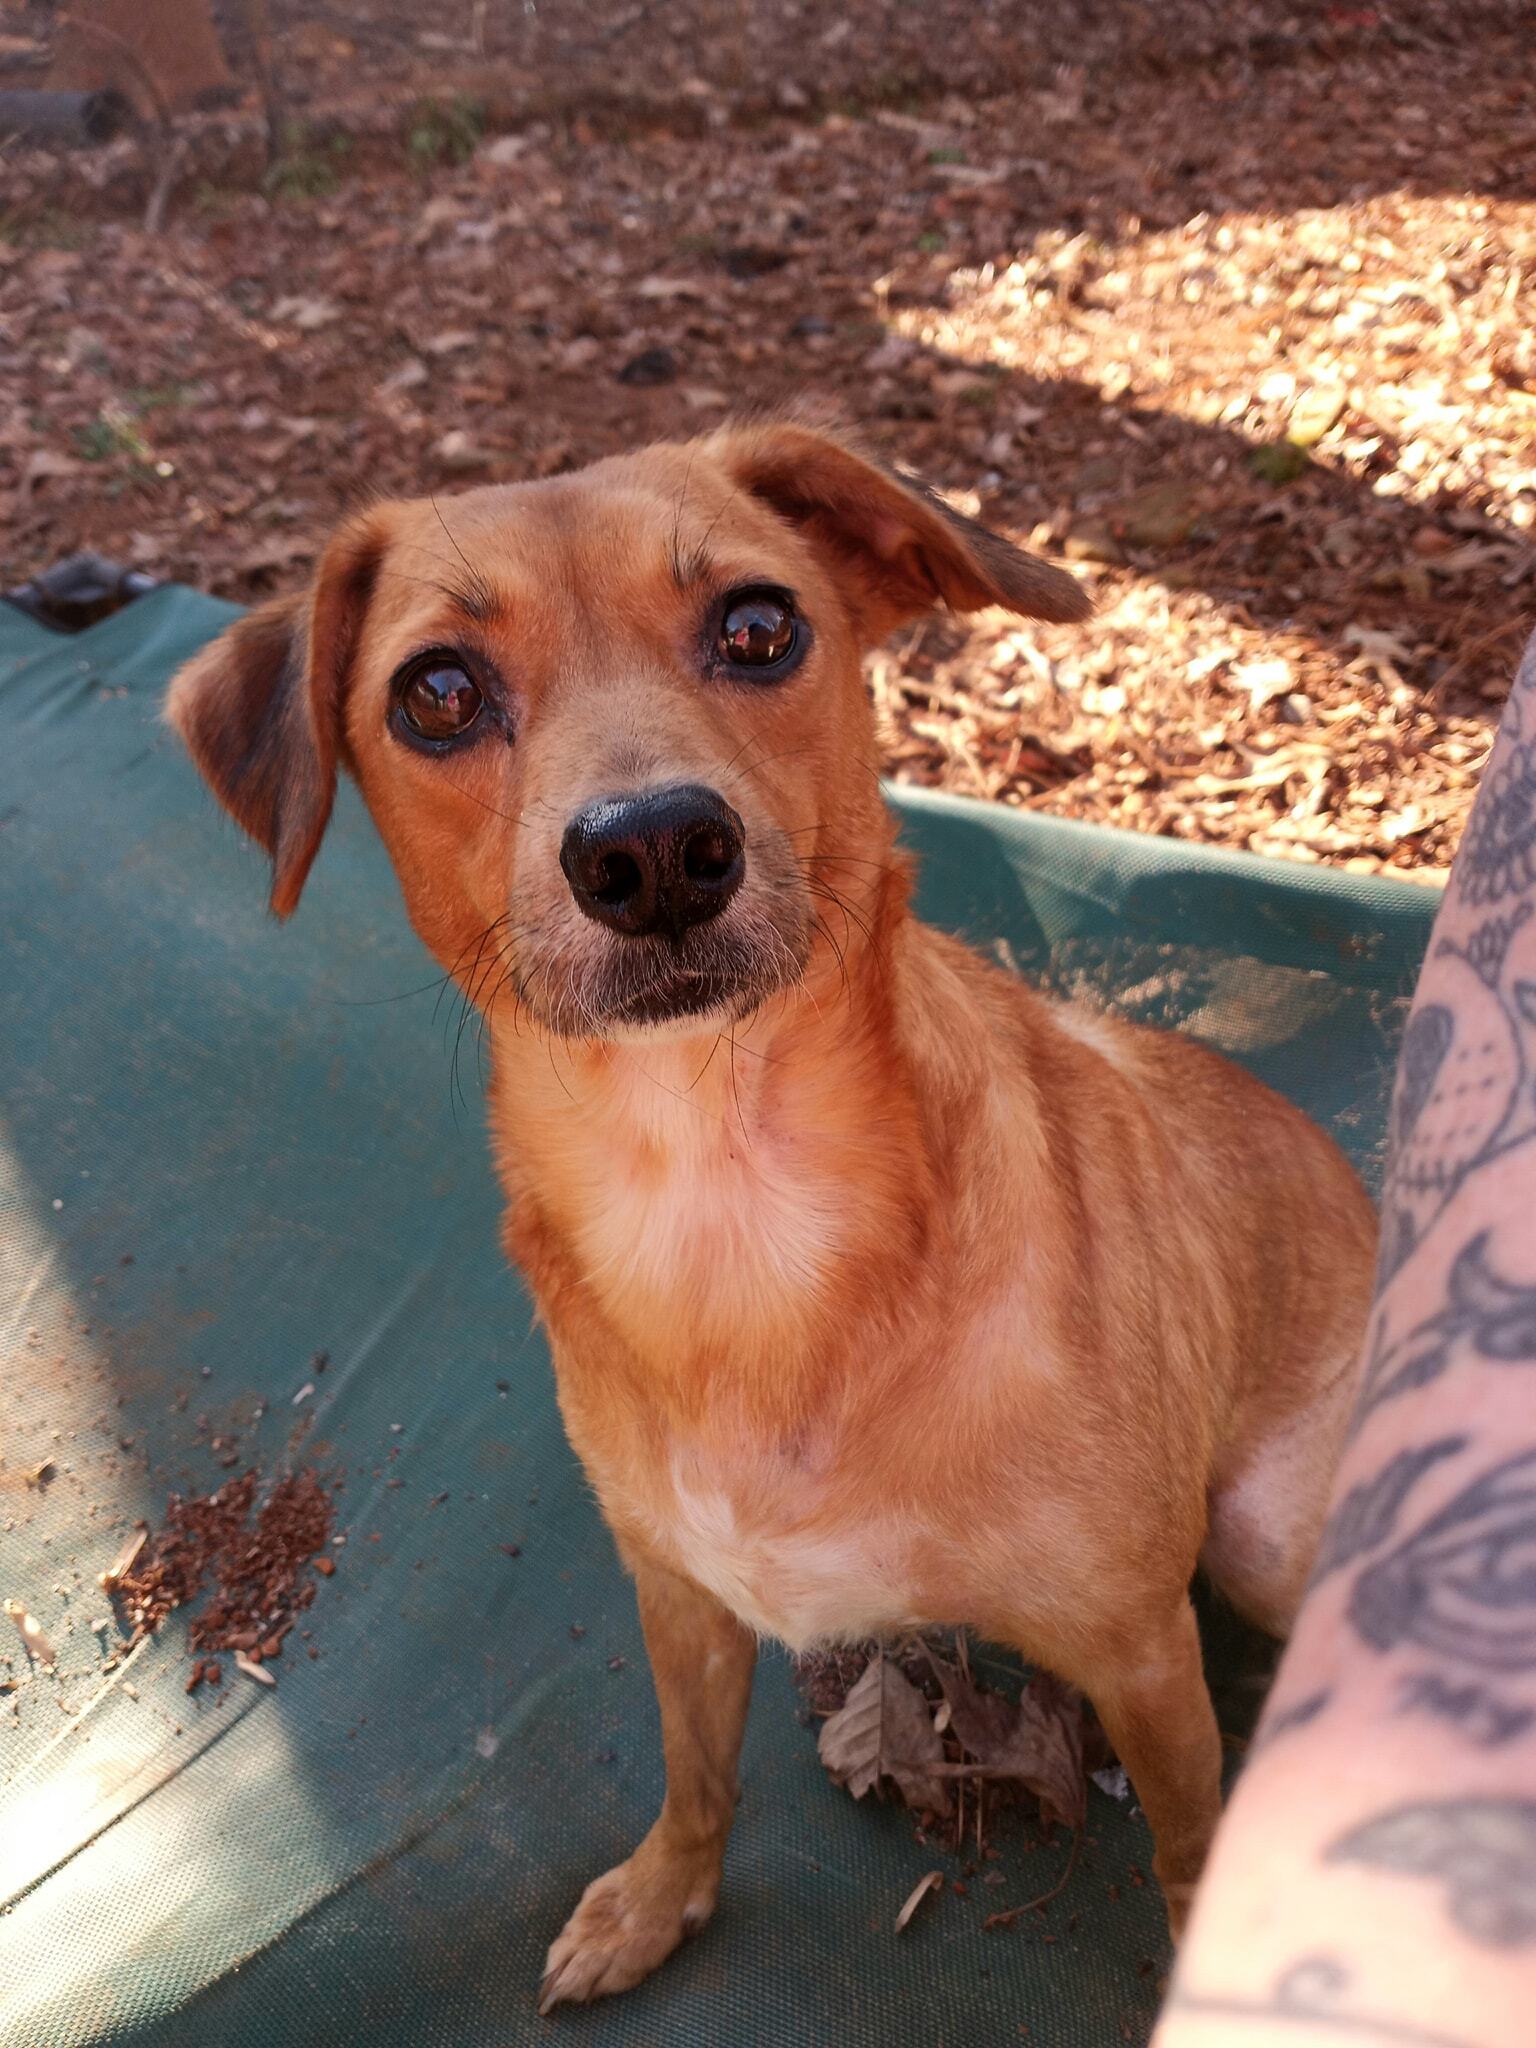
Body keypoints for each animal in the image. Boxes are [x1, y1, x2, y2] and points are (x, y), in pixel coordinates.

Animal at [171, 423, 1384, 2007]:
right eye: (435, 693)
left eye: (760, 627)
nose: (652, 850)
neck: (726, 1205)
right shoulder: (678, 1593)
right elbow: (697, 1776)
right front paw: (657, 1900)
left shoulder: (1142, 1650)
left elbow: (1188, 1846)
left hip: (1257, 1538)